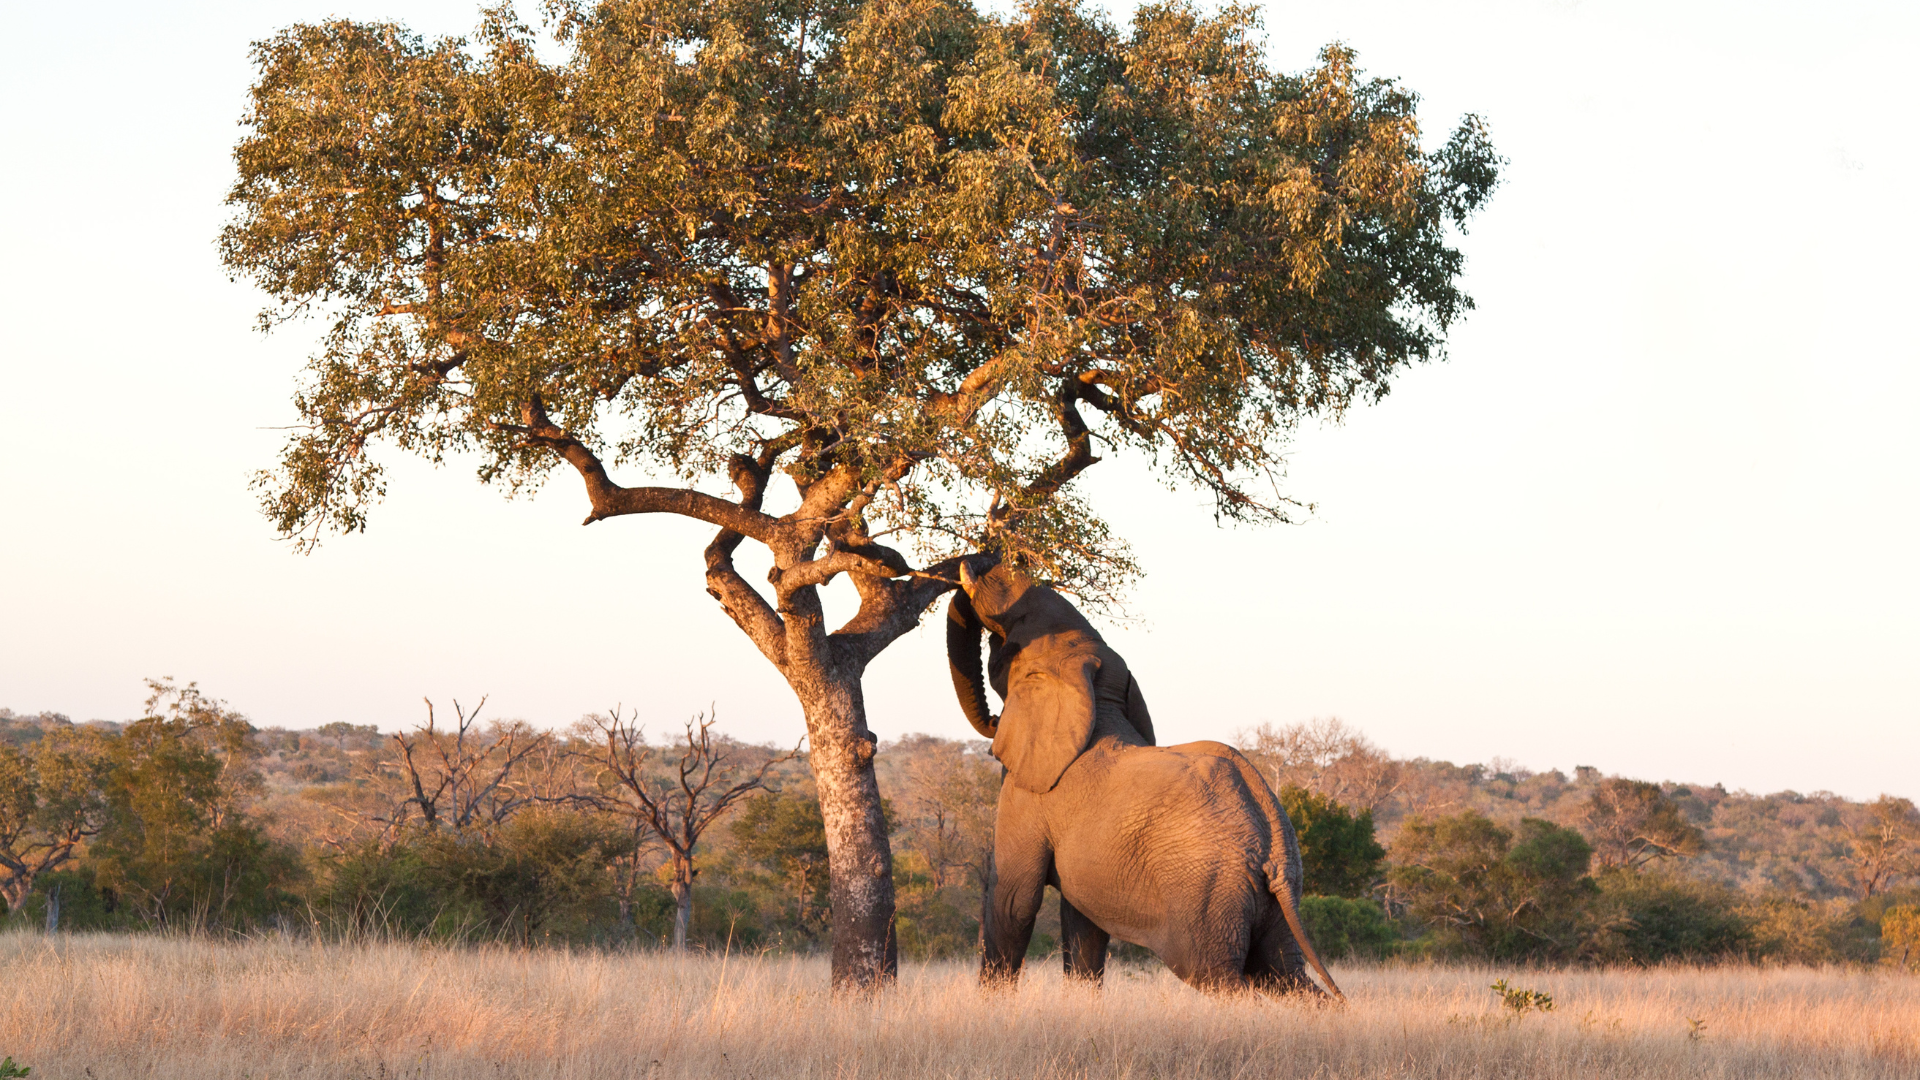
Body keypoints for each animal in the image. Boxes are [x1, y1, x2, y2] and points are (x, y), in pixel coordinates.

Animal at [940, 557, 1336, 999]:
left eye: (1002, 647)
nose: (993, 720)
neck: (1095, 692)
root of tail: (1276, 846)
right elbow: (1082, 921)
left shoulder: (1031, 793)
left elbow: (1014, 900)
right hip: (1274, 898)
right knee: (1285, 975)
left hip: (1209, 891)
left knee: (1221, 977)